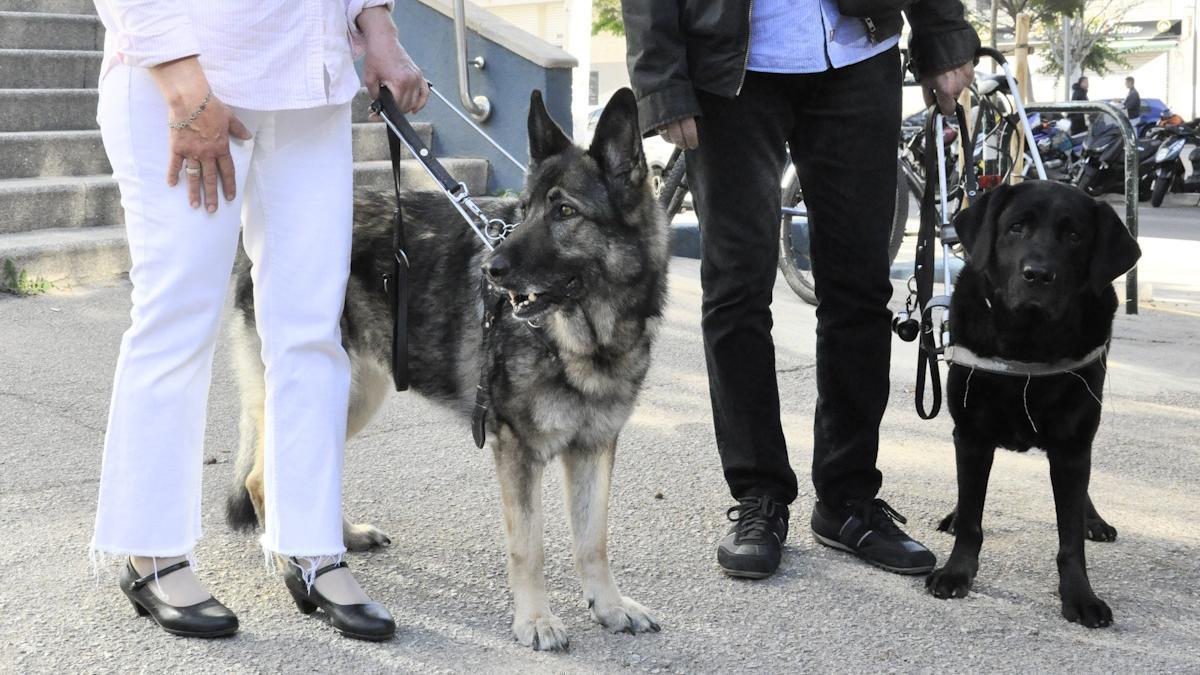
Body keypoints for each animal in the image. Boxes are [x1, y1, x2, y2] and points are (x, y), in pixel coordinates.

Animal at [225, 89, 672, 648]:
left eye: (565, 211)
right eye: (525, 211)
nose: (492, 271)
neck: (585, 337)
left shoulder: (594, 448)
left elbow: (594, 540)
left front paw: (609, 607)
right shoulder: (518, 453)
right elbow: (530, 546)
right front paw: (535, 620)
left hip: (351, 396)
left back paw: (339, 539)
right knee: (261, 480)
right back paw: (296, 564)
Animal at [926, 180, 1142, 624]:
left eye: (1074, 235)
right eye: (1016, 227)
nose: (1038, 275)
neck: (1027, 346)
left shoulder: (1073, 447)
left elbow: (1070, 538)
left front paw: (1079, 595)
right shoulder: (971, 436)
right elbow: (972, 517)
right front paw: (956, 572)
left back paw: (1094, 519)